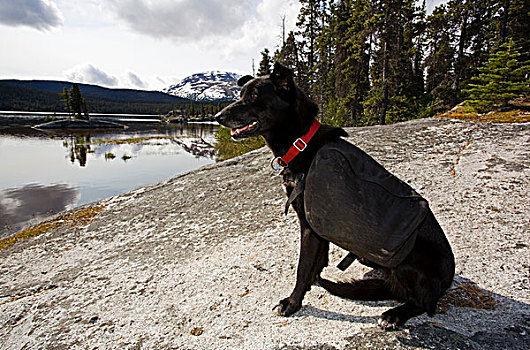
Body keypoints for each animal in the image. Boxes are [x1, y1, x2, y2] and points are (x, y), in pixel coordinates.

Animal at [214, 62, 454, 328]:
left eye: (254, 96)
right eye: (241, 95)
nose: (217, 117)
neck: (300, 143)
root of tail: (446, 282)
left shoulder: (310, 225)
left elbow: (303, 267)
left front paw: (293, 302)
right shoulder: (318, 224)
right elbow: (317, 262)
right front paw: (314, 283)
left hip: (409, 263)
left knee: (424, 303)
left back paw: (395, 314)